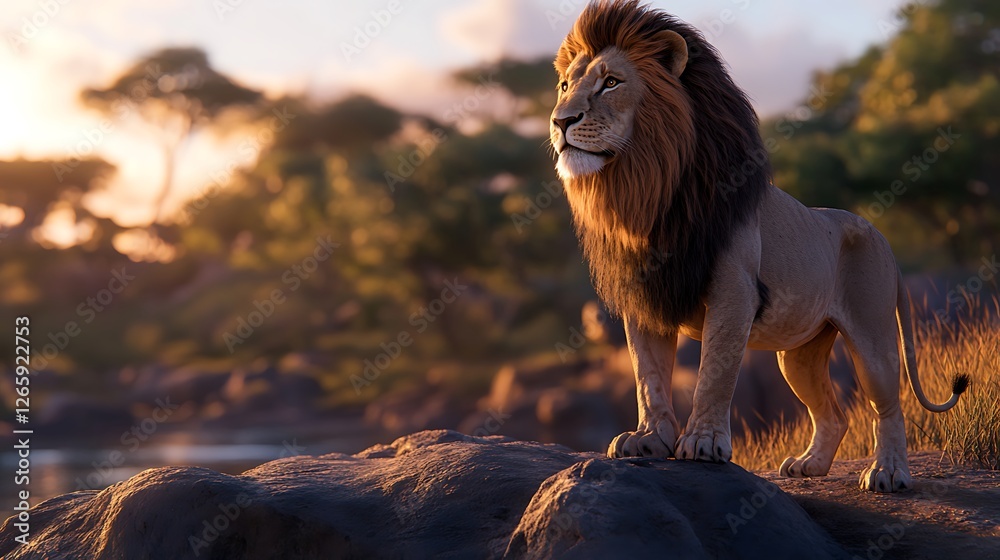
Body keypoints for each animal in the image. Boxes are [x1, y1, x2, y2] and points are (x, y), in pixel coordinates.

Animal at [549, 0, 968, 492]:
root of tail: (879, 234)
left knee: (888, 405)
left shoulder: (734, 292)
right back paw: (809, 465)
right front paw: (649, 439)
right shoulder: (646, 296)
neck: (650, 193)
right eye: (564, 86)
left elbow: (714, 370)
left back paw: (888, 473)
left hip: (873, 336)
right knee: (834, 413)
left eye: (611, 82)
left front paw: (703, 443)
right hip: (799, 355)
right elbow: (646, 374)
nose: (560, 121)